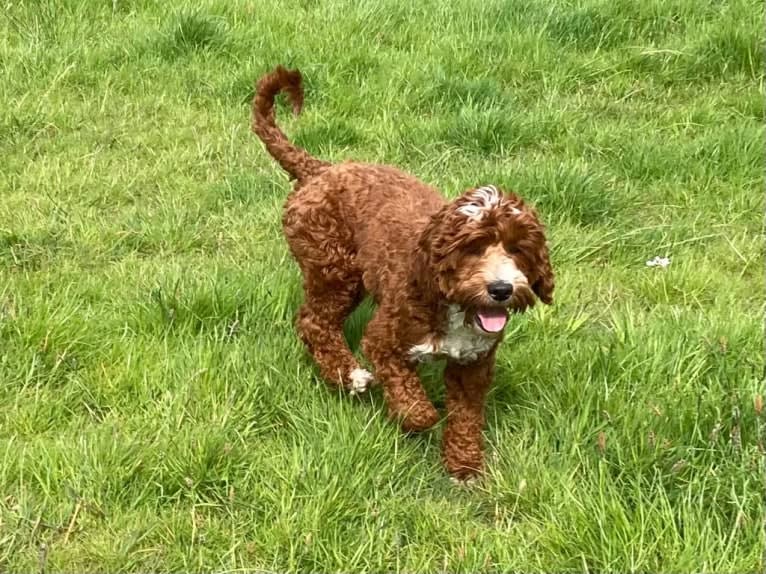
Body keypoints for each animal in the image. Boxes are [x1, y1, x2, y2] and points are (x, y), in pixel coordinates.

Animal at [255, 66, 556, 482]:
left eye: (518, 250)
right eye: (472, 247)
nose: (501, 289)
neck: (451, 303)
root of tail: (321, 169)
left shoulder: (473, 364)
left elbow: (466, 418)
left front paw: (464, 466)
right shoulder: (383, 340)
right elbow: (414, 403)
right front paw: (416, 416)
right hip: (335, 271)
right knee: (314, 323)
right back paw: (350, 376)